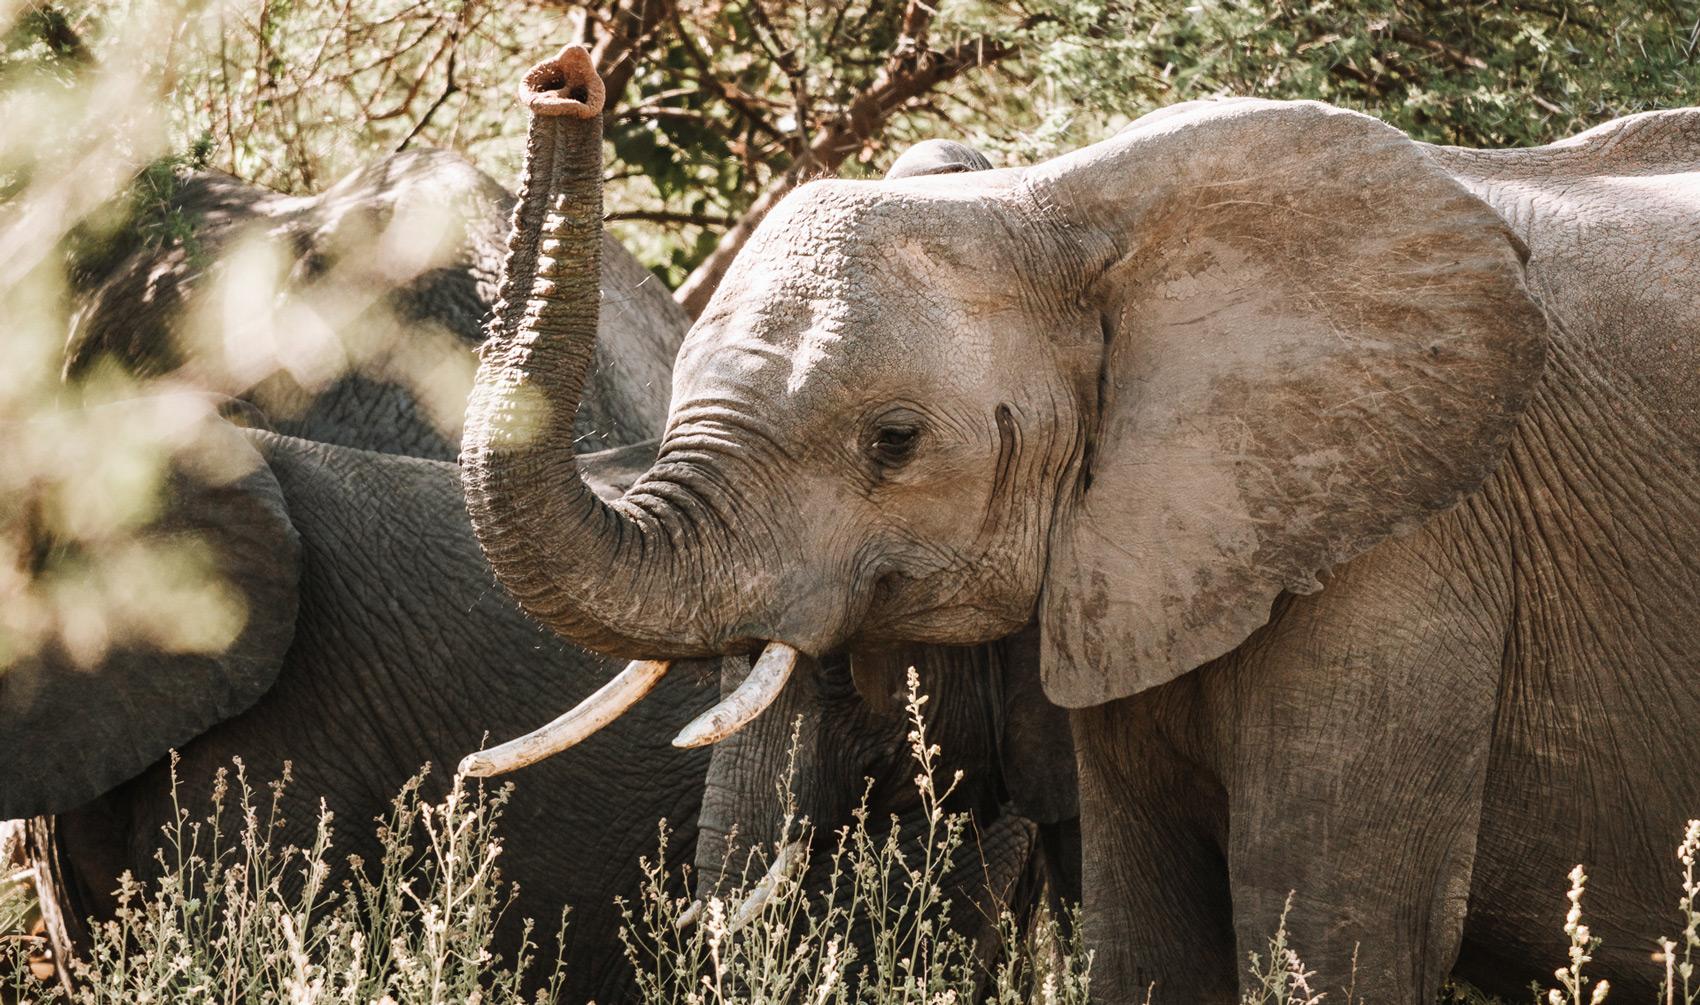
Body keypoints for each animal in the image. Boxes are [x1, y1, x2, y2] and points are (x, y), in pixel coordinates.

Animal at [456, 44, 1700, 1004]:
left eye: (892, 441)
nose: (563, 80)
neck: (1058, 202)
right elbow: (1148, 933)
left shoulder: (1411, 544)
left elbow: (1334, 934)